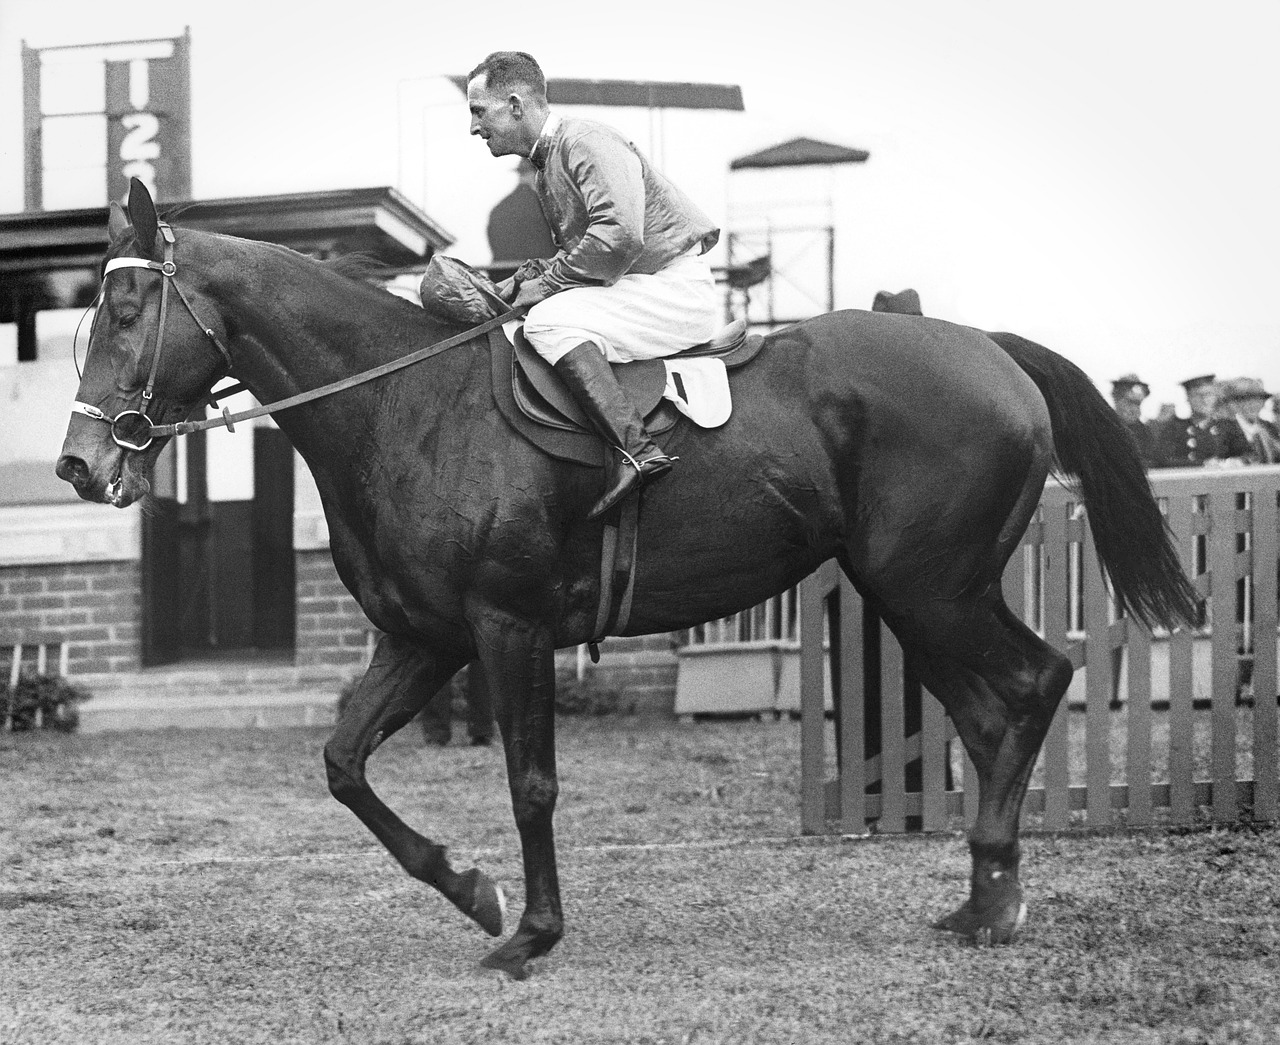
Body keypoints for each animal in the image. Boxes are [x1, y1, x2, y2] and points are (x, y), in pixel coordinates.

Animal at [57, 181, 1198, 978]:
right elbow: (343, 764)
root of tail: (987, 349)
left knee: (1032, 683)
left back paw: (996, 890)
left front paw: (530, 931)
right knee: (992, 705)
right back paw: (984, 895)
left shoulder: (505, 627)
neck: (407, 405)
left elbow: (530, 784)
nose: (78, 463)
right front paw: (471, 888)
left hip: (932, 588)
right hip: (916, 597)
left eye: (127, 307)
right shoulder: (423, 640)